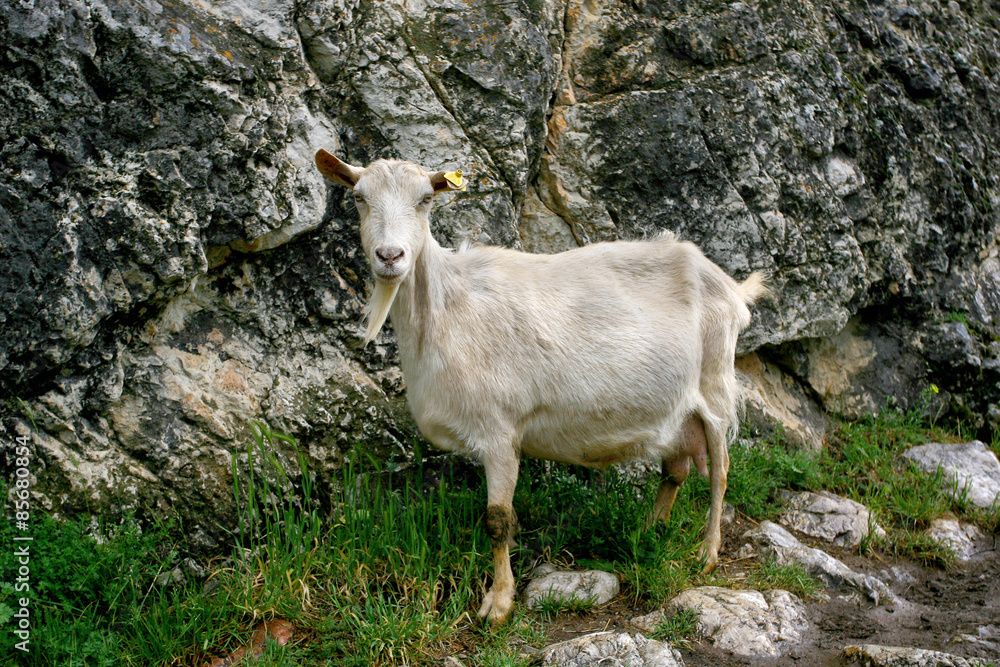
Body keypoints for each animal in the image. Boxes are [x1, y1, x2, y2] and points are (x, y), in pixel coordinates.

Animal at [316, 150, 768, 628]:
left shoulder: (499, 431)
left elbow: (497, 520)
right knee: (675, 471)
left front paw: (498, 604)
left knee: (720, 472)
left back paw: (707, 552)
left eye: (425, 200)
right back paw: (648, 530)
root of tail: (729, 285)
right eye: (359, 198)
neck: (448, 304)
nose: (389, 255)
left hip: (715, 385)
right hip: (676, 410)